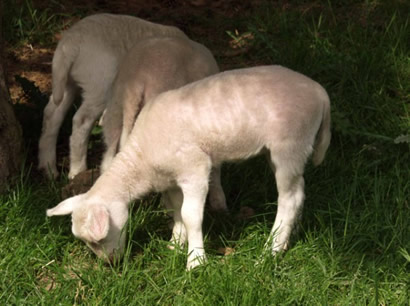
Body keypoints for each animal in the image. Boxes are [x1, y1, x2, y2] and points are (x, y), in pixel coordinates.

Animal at [36, 13, 187, 179]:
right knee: (82, 120)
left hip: (67, 82)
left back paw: (48, 167)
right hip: (101, 81)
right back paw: (78, 170)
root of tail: (70, 43)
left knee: (52, 114)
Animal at [46, 65, 332, 270]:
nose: (110, 264)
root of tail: (321, 93)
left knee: (289, 198)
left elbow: (191, 214)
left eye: (98, 239)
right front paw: (175, 244)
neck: (141, 159)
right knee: (299, 190)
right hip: (286, 151)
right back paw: (291, 234)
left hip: (289, 144)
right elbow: (176, 210)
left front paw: (195, 261)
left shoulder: (194, 169)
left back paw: (270, 251)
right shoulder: (170, 179)